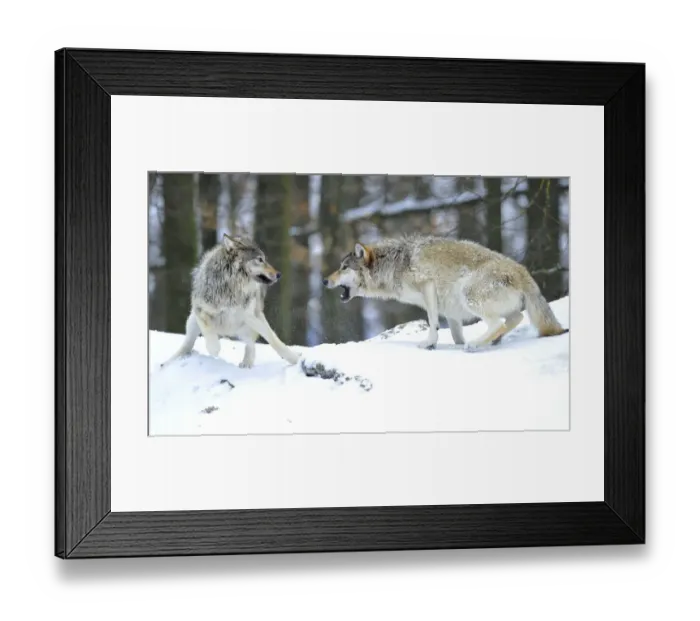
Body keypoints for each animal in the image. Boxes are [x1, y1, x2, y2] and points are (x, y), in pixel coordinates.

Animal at [163, 234, 300, 368]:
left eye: (264, 259)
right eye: (260, 259)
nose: (279, 274)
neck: (232, 287)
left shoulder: (251, 315)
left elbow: (272, 338)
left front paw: (294, 359)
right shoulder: (200, 310)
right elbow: (209, 332)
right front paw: (214, 349)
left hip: (247, 325)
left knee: (251, 344)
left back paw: (247, 364)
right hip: (192, 323)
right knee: (186, 346)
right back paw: (167, 363)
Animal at [323, 234, 568, 351]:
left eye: (343, 267)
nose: (324, 280)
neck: (395, 264)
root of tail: (522, 270)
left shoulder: (428, 287)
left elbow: (432, 323)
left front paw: (429, 343)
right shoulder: (451, 312)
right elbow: (455, 335)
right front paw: (452, 344)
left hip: (468, 293)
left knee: (499, 323)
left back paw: (475, 345)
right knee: (513, 319)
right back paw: (490, 342)